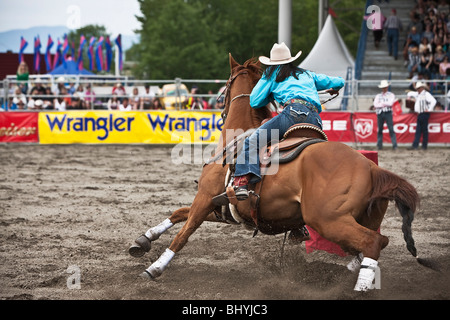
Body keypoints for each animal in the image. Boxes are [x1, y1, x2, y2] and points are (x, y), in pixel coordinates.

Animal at [129, 54, 422, 290]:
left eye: (226, 84)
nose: (219, 104)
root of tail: (371, 168)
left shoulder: (205, 198)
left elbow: (184, 232)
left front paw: (154, 268)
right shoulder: (221, 207)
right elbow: (179, 213)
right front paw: (143, 240)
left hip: (328, 220)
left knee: (373, 242)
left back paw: (358, 288)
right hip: (362, 217)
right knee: (369, 245)